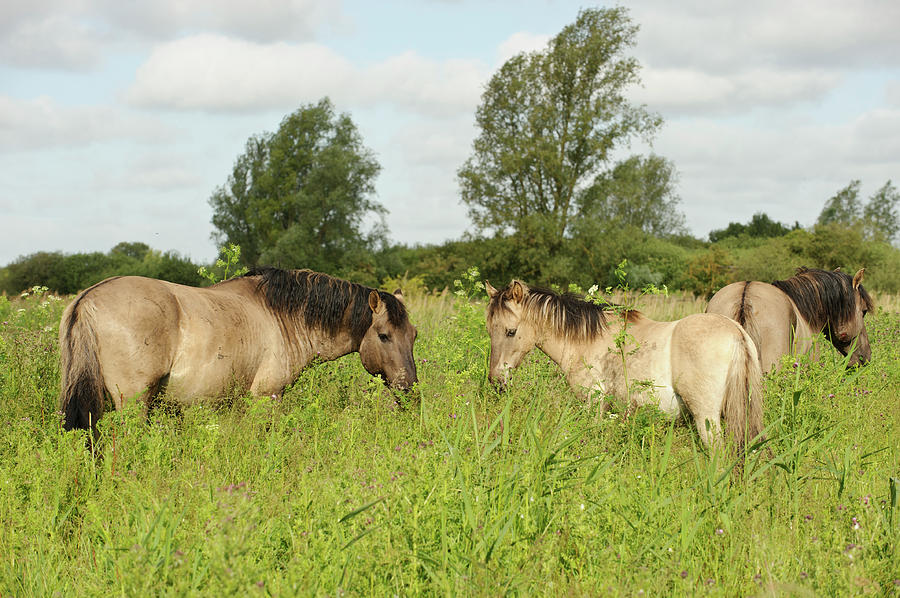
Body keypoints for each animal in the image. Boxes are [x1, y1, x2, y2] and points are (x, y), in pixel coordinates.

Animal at [59, 268, 418, 432]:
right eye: (384, 336)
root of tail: (87, 299)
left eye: (413, 335)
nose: (410, 390)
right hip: (133, 404)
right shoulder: (266, 397)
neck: (281, 316)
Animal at [482, 282, 764, 454]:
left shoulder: (594, 404)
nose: (497, 380)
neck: (588, 339)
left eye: (511, 331)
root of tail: (736, 333)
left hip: (707, 419)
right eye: (489, 329)